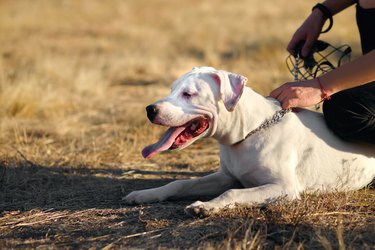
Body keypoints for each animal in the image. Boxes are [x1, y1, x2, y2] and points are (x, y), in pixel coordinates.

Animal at [124, 66, 375, 217]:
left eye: (188, 94)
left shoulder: (284, 187)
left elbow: (232, 193)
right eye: (172, 89)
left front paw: (205, 206)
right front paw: (146, 194)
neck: (249, 132)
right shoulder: (226, 176)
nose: (150, 109)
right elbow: (180, 183)